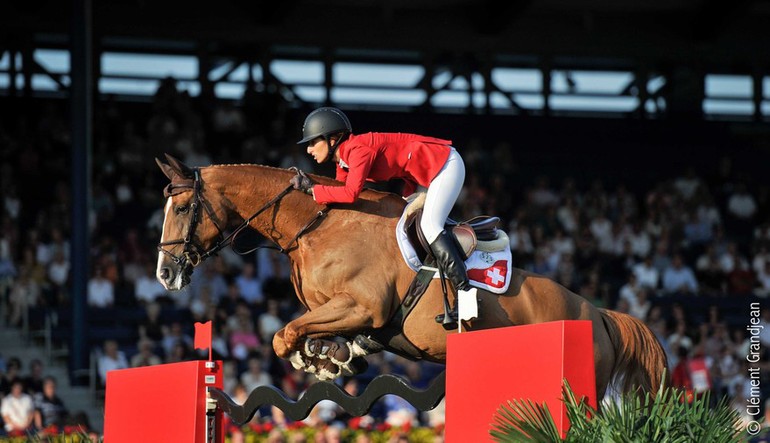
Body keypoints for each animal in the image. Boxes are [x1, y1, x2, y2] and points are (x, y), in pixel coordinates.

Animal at [154, 156, 664, 402]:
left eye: (183, 207)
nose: (165, 274)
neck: (316, 224)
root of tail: (598, 313)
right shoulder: (342, 313)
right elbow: (301, 331)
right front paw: (334, 359)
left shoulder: (362, 306)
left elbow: (286, 334)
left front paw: (317, 361)